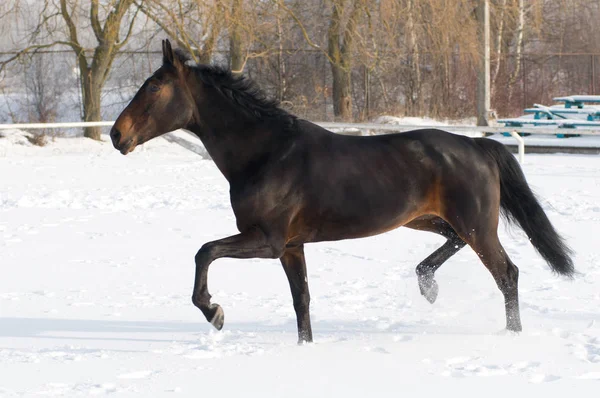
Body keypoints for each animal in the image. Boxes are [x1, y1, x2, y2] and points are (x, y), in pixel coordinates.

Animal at [110, 40, 576, 344]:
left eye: (155, 86)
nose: (117, 135)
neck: (266, 153)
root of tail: (479, 144)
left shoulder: (268, 241)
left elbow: (204, 251)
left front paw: (215, 312)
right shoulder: (291, 246)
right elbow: (301, 300)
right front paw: (305, 348)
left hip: (476, 226)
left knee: (507, 274)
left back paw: (510, 336)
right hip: (432, 220)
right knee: (457, 248)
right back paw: (427, 285)